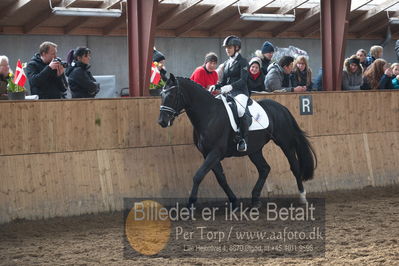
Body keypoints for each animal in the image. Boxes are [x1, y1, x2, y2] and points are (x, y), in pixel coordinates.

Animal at [158, 74, 318, 207]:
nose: (162, 121)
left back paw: (302, 197)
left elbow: (198, 176)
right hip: (254, 150)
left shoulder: (215, 152)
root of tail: (281, 108)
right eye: (161, 94)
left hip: (285, 143)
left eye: (172, 95)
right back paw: (255, 200)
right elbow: (221, 179)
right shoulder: (208, 154)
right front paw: (234, 201)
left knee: (294, 167)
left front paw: (190, 204)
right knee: (264, 169)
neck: (209, 114)